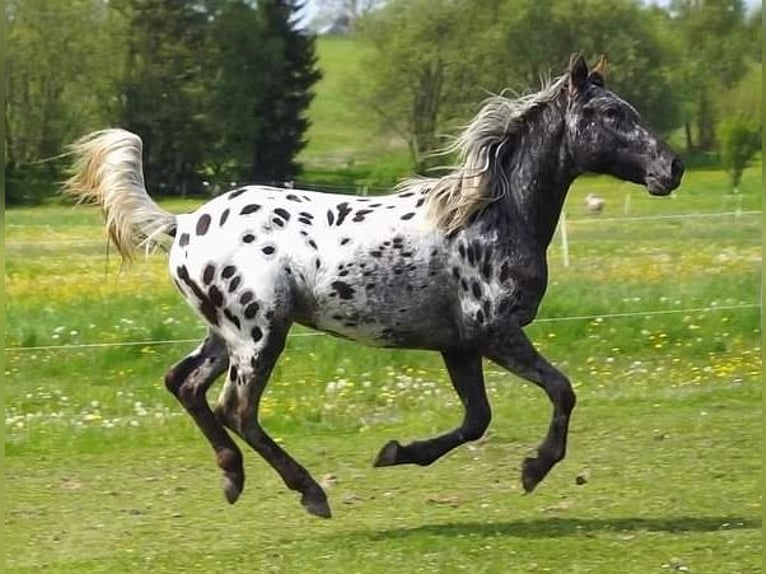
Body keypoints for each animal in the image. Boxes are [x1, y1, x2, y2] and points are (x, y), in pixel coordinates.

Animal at [65, 54, 683, 518]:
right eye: (610, 112)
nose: (672, 168)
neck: (488, 214)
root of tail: (185, 223)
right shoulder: (495, 333)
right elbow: (561, 390)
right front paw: (534, 469)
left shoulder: (459, 345)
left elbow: (477, 420)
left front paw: (395, 452)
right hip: (260, 334)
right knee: (236, 408)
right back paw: (310, 493)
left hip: (226, 334)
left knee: (185, 384)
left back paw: (232, 478)